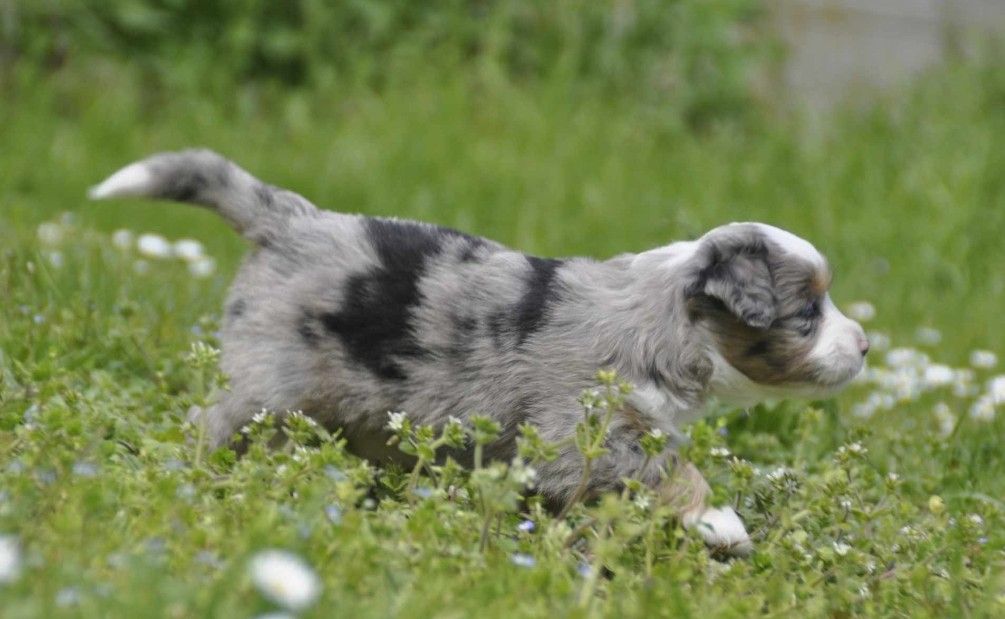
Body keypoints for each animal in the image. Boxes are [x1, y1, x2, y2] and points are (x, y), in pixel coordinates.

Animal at [90, 149, 868, 554]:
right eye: (806, 314)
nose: (863, 345)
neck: (667, 318)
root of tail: (290, 220)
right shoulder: (580, 435)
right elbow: (669, 468)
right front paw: (721, 521)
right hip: (265, 383)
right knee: (212, 426)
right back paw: (195, 478)